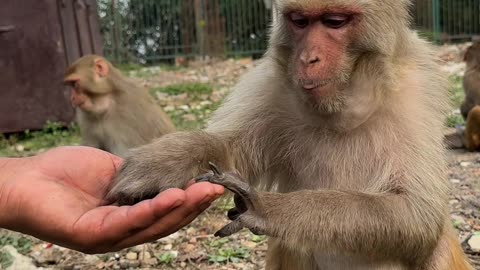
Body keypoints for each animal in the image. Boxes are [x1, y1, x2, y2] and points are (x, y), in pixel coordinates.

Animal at [104, 0, 472, 270]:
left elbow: (418, 215)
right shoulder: (272, 85)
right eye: (299, 21)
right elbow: (229, 148)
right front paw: (167, 162)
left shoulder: (417, 90)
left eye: (334, 21)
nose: (308, 58)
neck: (343, 110)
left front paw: (267, 208)